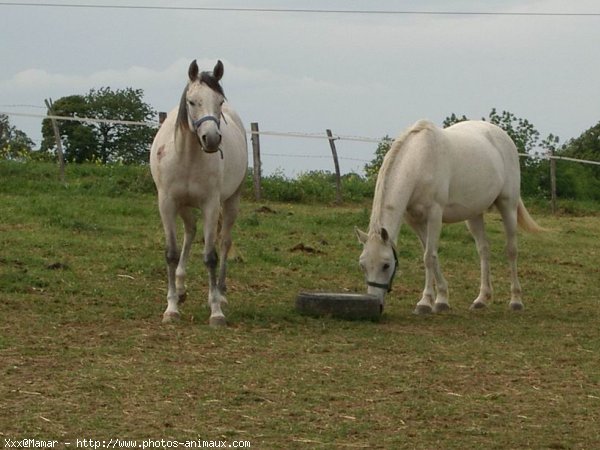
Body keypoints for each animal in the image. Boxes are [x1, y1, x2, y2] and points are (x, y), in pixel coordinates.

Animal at [151, 60, 247, 326]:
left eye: (220, 102)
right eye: (192, 101)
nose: (211, 139)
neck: (187, 157)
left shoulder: (210, 205)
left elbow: (210, 256)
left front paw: (216, 311)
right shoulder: (167, 203)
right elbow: (171, 253)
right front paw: (171, 307)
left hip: (231, 201)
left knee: (224, 243)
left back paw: (220, 293)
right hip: (184, 206)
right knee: (190, 232)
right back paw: (181, 288)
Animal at [356, 121, 544, 314]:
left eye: (386, 265)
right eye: (362, 265)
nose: (377, 304)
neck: (419, 162)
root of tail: (502, 135)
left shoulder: (434, 214)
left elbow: (428, 257)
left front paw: (425, 303)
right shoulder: (414, 220)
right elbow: (432, 255)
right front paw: (441, 299)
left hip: (508, 205)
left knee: (511, 250)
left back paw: (516, 301)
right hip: (474, 214)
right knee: (484, 250)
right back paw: (481, 299)